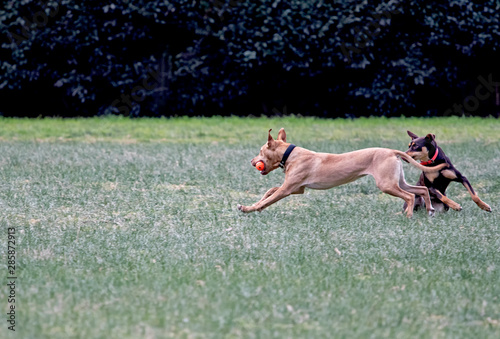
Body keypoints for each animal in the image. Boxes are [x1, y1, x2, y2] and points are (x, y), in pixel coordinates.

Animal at [238, 129, 450, 219]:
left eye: (260, 150)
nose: (252, 162)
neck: (291, 154)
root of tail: (392, 151)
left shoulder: (288, 189)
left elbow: (269, 198)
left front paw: (249, 209)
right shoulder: (296, 188)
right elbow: (269, 191)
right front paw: (251, 204)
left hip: (386, 184)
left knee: (409, 196)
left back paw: (408, 215)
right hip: (396, 181)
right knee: (421, 190)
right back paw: (430, 210)